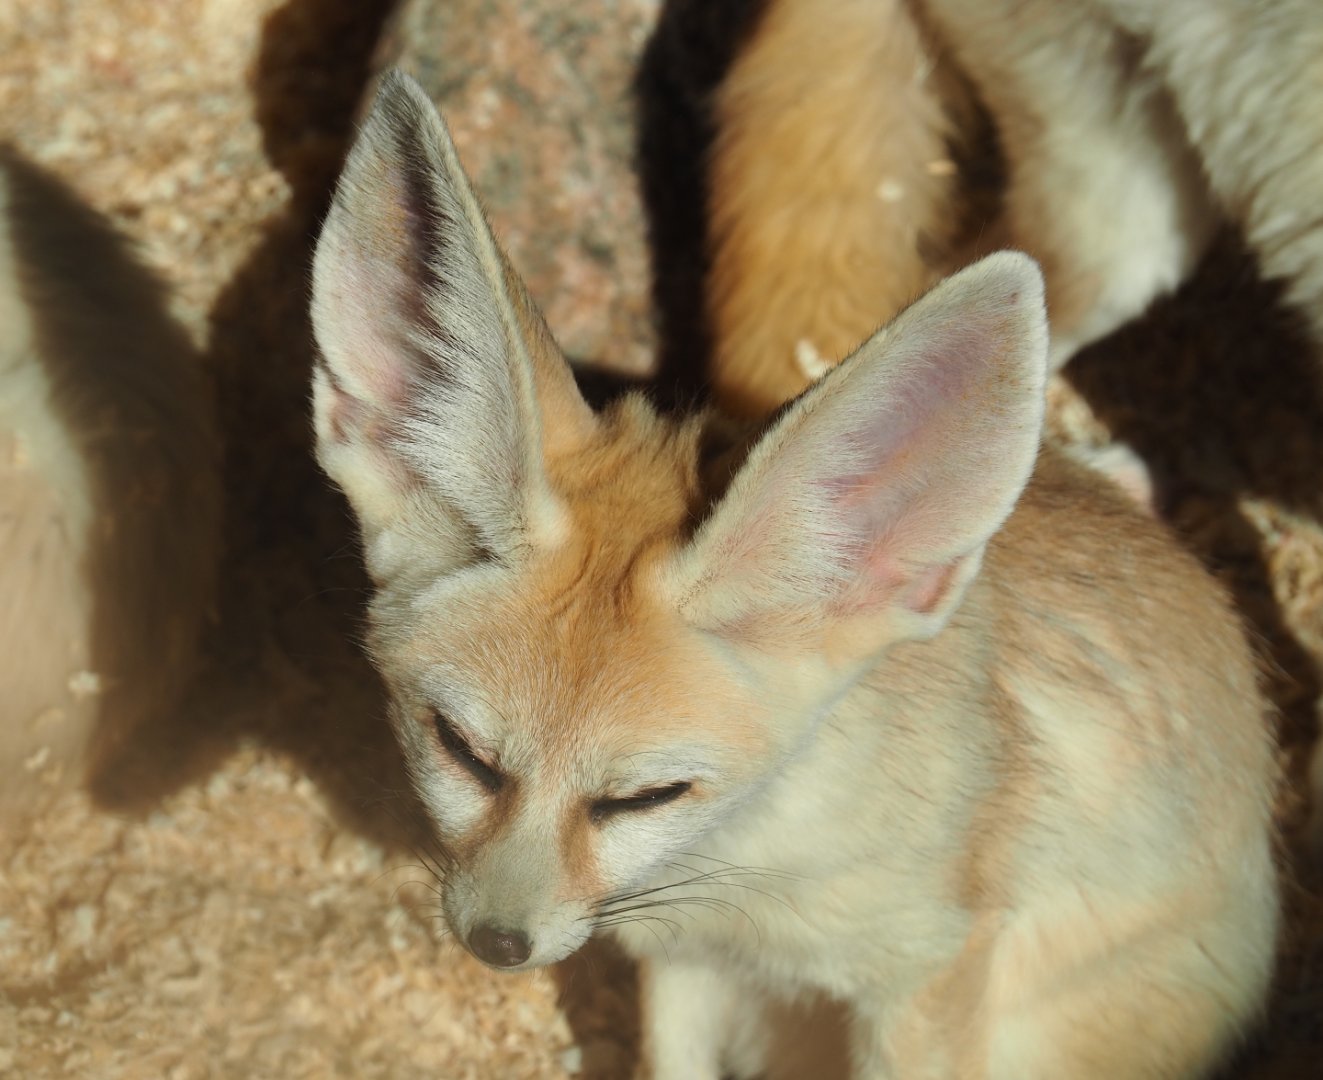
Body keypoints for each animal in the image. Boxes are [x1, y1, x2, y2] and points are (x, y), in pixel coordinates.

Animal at [310, 72, 1279, 1079]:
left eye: (643, 797)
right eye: (461, 750)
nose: (497, 941)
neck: (744, 867)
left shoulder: (925, 972)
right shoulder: (686, 962)